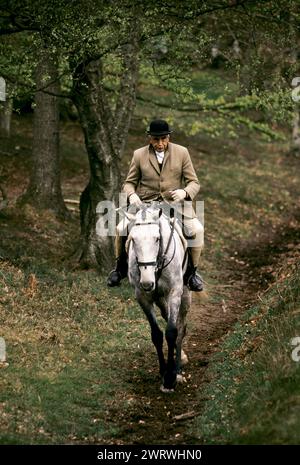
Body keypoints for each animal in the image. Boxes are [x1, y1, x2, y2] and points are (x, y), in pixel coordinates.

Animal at [125, 204, 191, 392]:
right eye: (133, 239)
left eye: (157, 239)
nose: (147, 283)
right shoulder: (143, 297)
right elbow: (156, 334)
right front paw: (163, 371)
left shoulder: (175, 292)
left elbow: (172, 332)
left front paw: (170, 378)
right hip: (160, 299)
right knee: (166, 315)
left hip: (185, 295)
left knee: (181, 327)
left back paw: (178, 367)